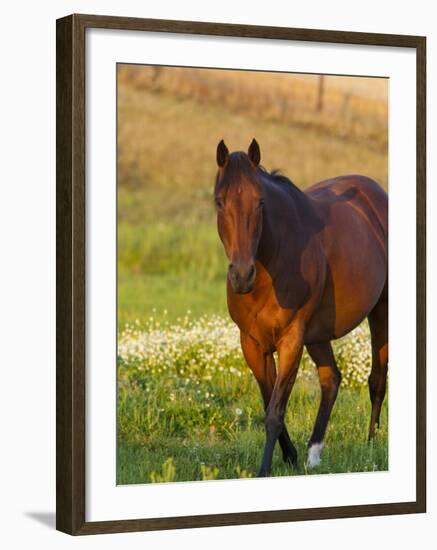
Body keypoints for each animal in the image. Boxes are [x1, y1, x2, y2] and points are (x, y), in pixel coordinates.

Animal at [213, 139, 386, 478]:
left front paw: (264, 470)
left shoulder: (291, 340)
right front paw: (290, 456)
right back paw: (313, 454)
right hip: (317, 334)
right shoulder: (252, 344)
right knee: (331, 379)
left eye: (260, 202)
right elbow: (269, 403)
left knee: (377, 379)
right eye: (219, 201)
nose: (242, 275)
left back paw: (371, 445)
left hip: (381, 311)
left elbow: (275, 412)